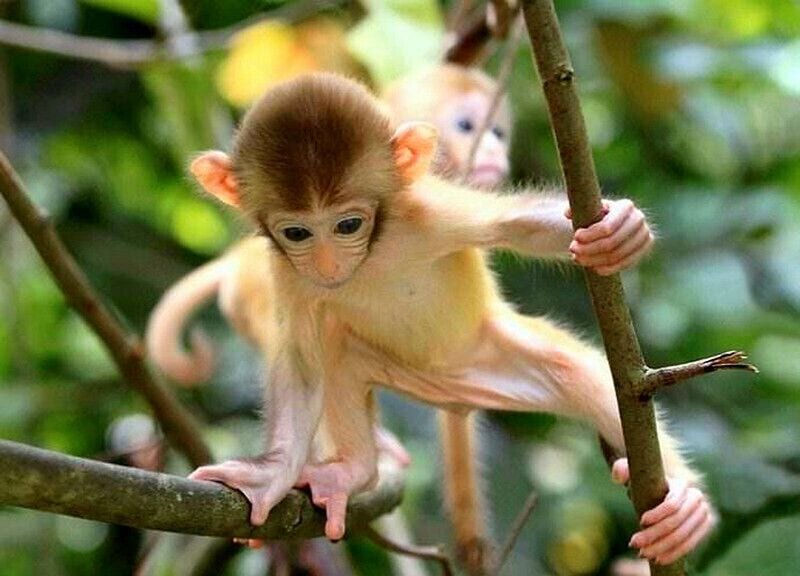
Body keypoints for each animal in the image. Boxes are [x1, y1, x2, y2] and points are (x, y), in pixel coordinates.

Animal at [175, 73, 713, 566]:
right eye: (297, 232)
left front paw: (620, 231)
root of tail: (454, 390)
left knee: (581, 374)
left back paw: (682, 504)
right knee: (336, 353)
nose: (328, 266)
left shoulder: (429, 212)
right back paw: (353, 471)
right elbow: (303, 364)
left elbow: (520, 225)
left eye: (348, 224)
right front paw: (273, 475)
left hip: (494, 352)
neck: (371, 253)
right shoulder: (287, 273)